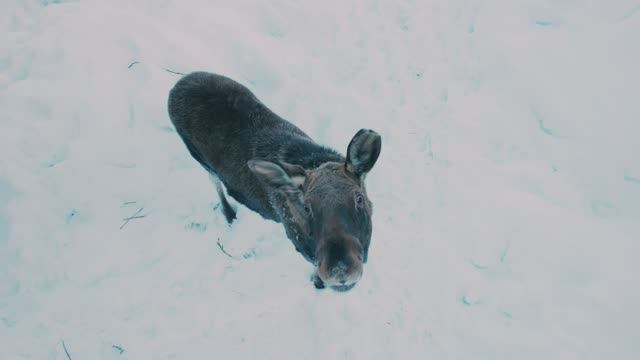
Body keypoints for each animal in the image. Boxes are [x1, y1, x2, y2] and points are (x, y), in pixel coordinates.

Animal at [168, 71, 382, 292]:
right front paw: (318, 281)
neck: (314, 159)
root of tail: (179, 84)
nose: (340, 272)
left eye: (359, 198)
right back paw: (229, 213)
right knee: (214, 181)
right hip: (199, 157)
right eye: (306, 207)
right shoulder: (300, 246)